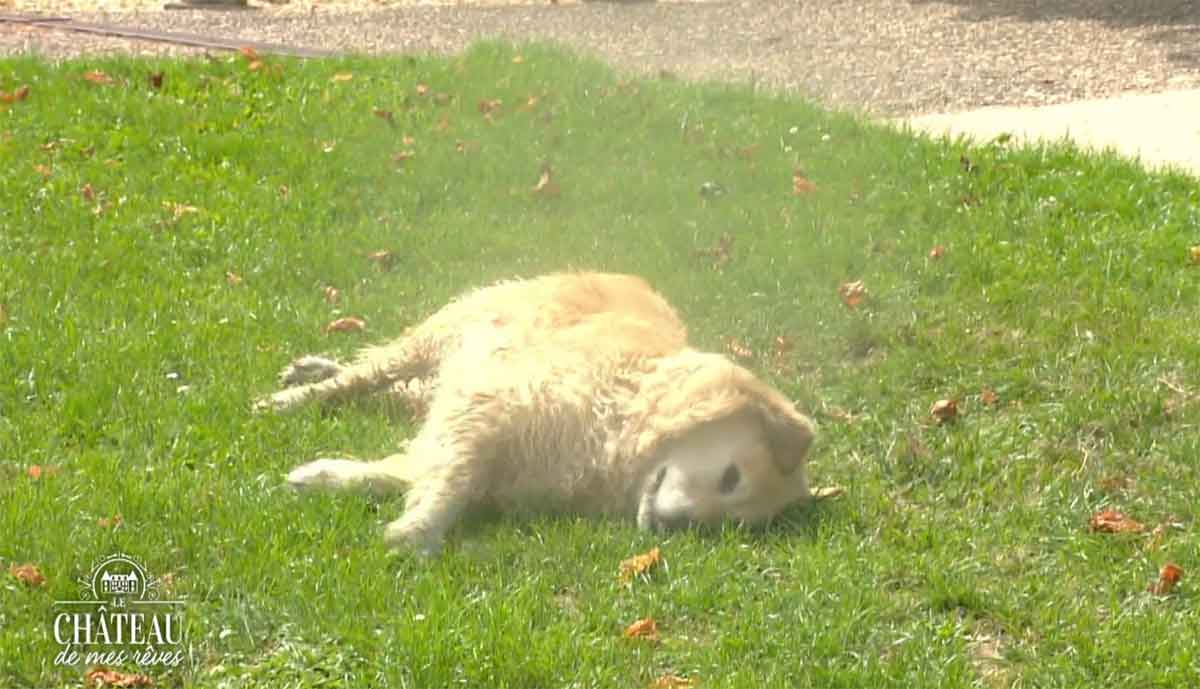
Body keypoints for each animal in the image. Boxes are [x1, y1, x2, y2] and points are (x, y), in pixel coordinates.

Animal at [253, 273, 816, 556]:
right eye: (730, 477)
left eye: (730, 525)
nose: (676, 528)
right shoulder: (485, 407)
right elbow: (449, 482)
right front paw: (419, 530)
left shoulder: (470, 426)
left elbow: (405, 472)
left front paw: (325, 477)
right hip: (444, 331)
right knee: (368, 374)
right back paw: (295, 395)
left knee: (398, 388)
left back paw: (313, 369)